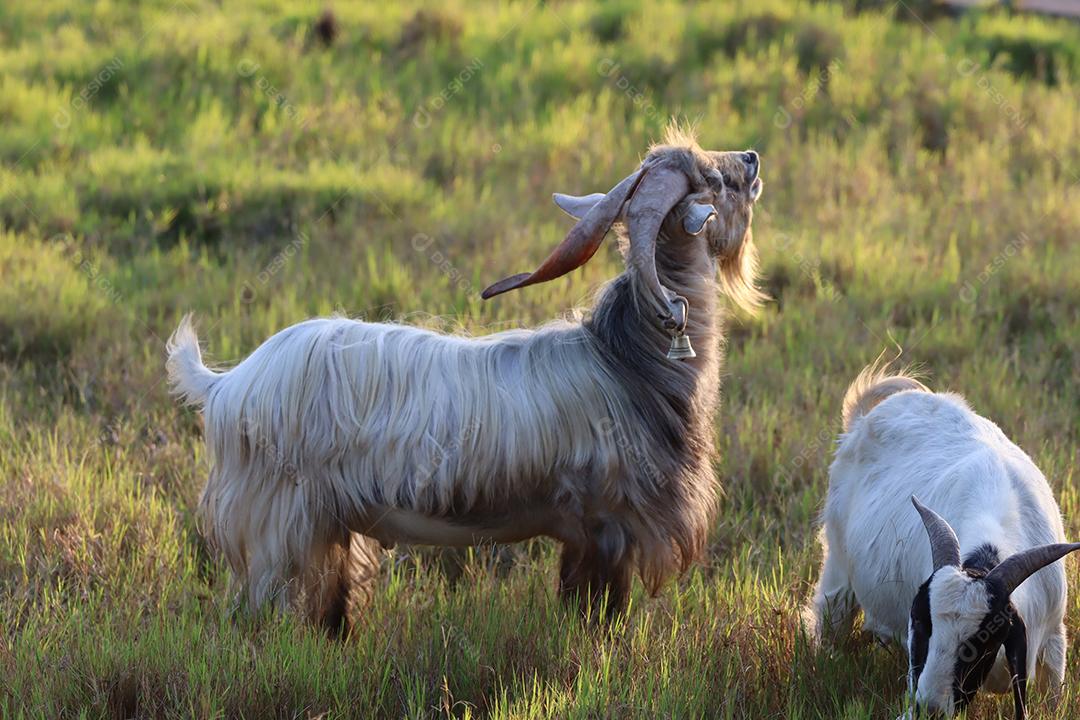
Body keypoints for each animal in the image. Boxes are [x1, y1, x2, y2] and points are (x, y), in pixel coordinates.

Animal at [167, 127, 765, 632]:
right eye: (712, 180)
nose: (752, 158)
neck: (627, 362)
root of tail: (227, 384)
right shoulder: (607, 526)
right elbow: (598, 619)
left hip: (328, 527)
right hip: (278, 524)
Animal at [804, 363, 1079, 718]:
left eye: (980, 642)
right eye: (922, 624)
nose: (928, 708)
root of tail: (863, 417)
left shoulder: (1053, 642)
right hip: (837, 565)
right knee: (829, 613)